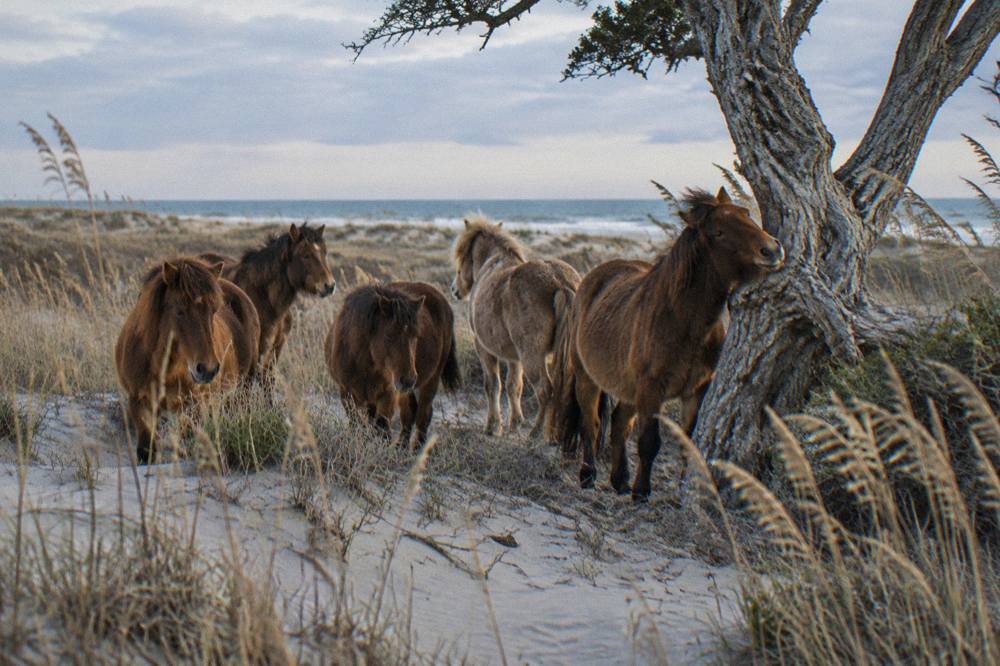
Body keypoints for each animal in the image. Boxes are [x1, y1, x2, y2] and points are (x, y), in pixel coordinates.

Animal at [115, 257, 261, 463]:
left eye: (214, 311)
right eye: (179, 311)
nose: (208, 369)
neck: (163, 369)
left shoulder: (193, 405)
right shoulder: (139, 402)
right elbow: (146, 451)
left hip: (242, 388)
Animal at [325, 281, 460, 447]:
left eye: (416, 336)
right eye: (389, 336)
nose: (409, 380)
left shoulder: (387, 394)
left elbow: (381, 427)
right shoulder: (347, 392)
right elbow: (358, 424)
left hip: (430, 380)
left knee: (424, 414)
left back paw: (416, 448)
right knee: (410, 412)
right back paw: (401, 447)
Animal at [451, 216, 581, 441]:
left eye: (462, 257)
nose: (454, 289)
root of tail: (559, 282)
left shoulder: (484, 349)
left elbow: (493, 385)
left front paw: (493, 426)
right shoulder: (514, 357)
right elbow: (514, 386)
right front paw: (515, 422)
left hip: (532, 356)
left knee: (545, 389)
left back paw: (536, 433)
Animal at [552, 187, 784, 501]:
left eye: (746, 215)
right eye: (719, 232)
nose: (772, 250)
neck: (683, 321)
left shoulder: (697, 390)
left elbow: (688, 441)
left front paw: (684, 488)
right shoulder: (652, 389)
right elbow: (649, 441)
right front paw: (642, 491)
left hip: (628, 387)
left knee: (619, 423)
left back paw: (619, 480)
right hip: (588, 378)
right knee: (592, 424)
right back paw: (588, 475)